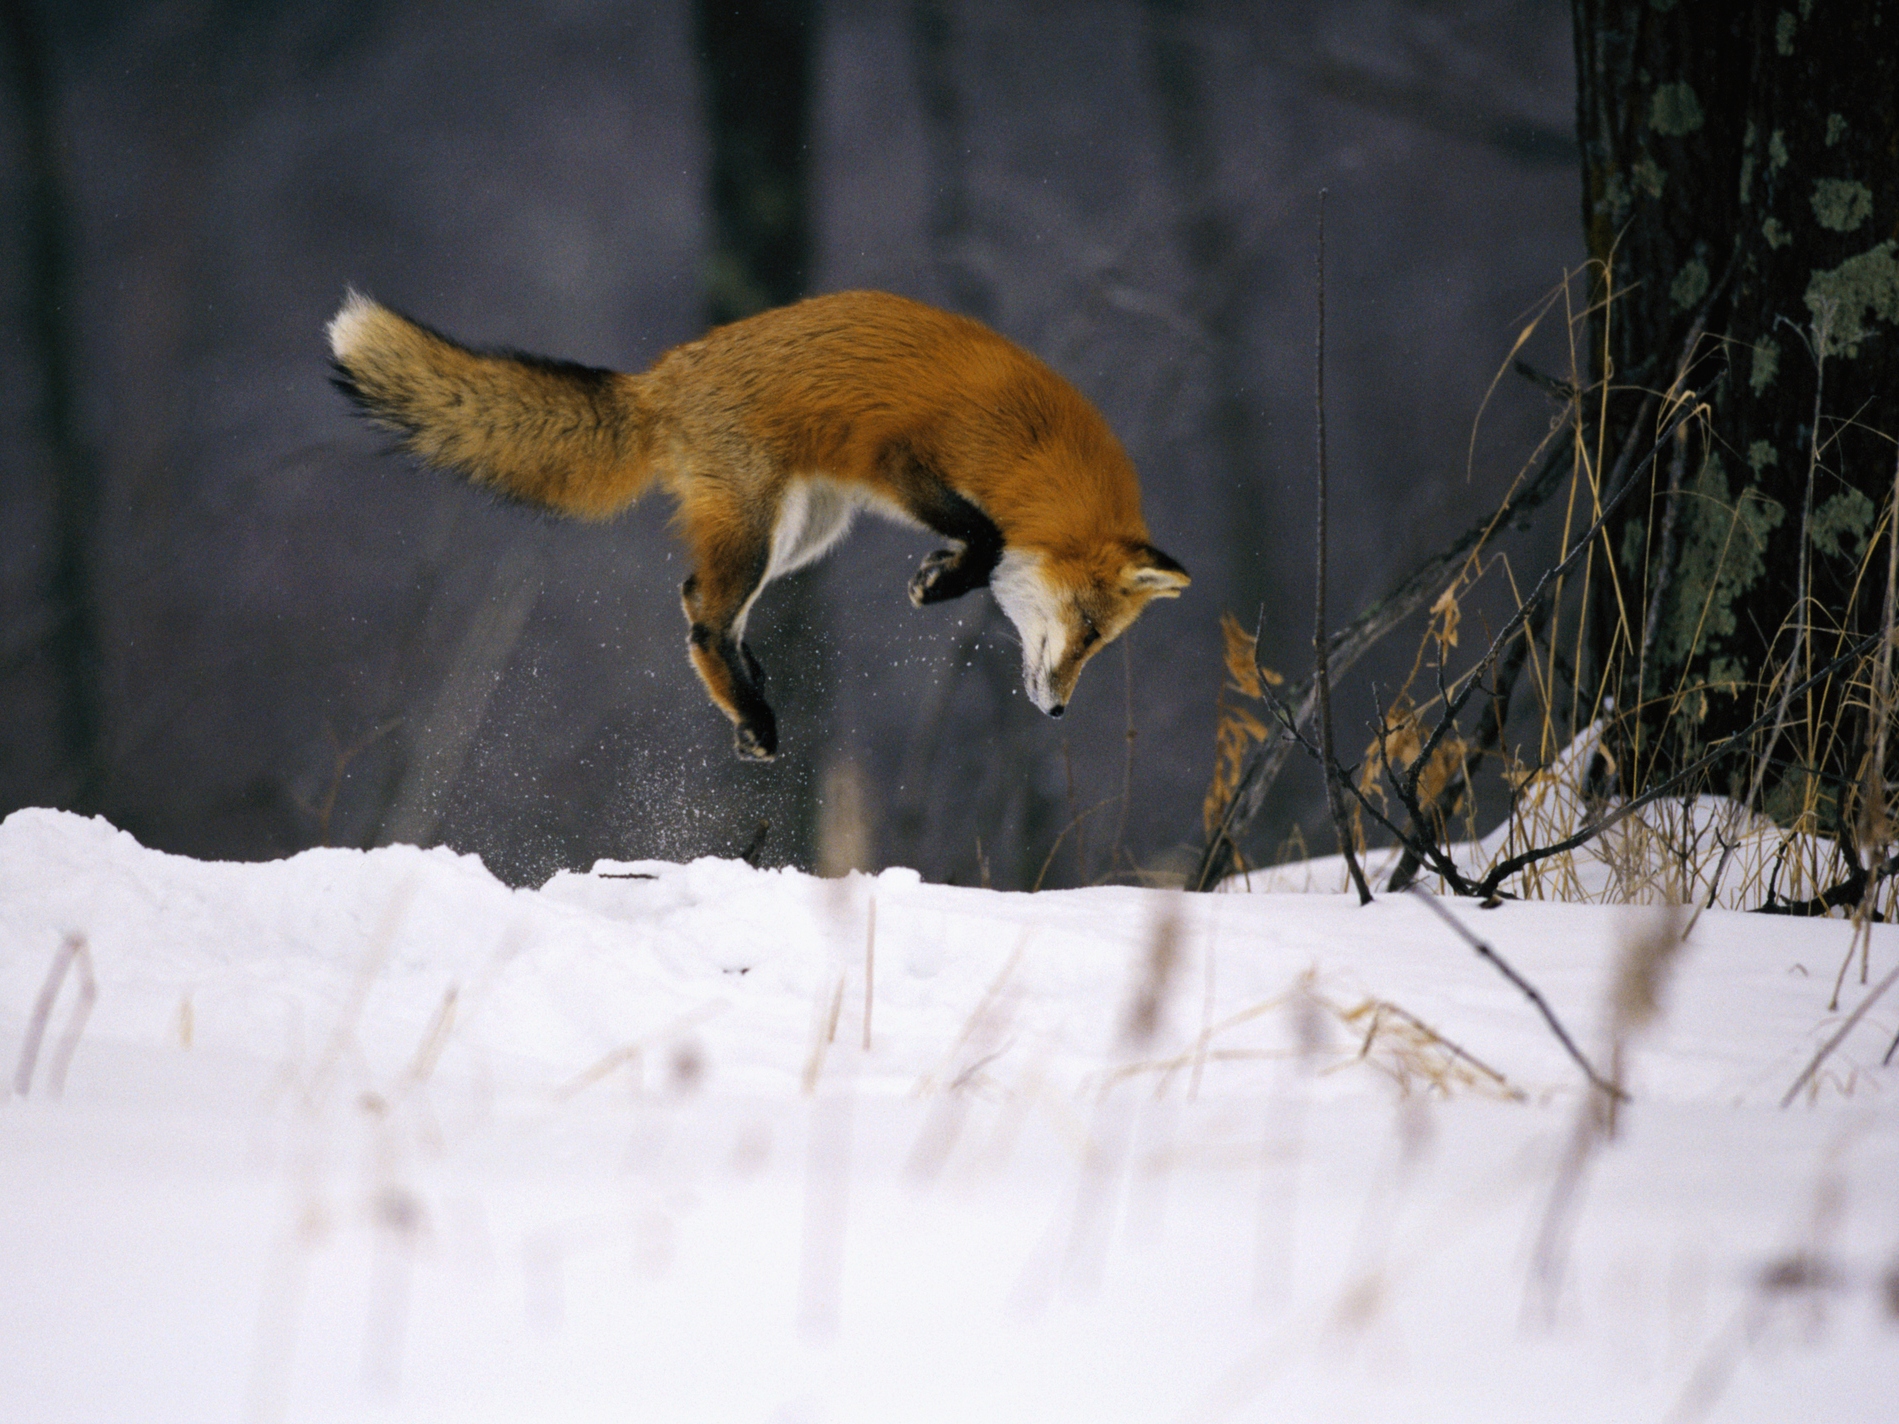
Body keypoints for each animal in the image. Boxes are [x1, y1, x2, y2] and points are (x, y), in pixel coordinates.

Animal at [327, 288, 1189, 760]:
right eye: (1086, 628)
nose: (1058, 711)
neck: (1034, 458)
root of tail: (660, 379)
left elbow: (981, 539)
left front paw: (937, 573)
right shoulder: (901, 457)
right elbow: (987, 536)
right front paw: (942, 581)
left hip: (805, 531)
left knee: (693, 598)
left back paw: (749, 700)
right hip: (761, 527)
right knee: (706, 618)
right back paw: (752, 711)